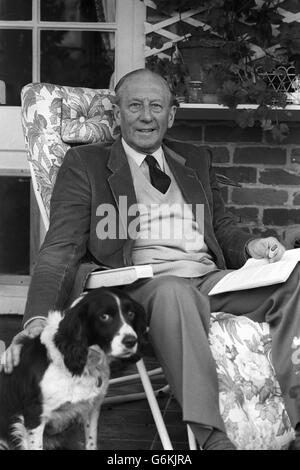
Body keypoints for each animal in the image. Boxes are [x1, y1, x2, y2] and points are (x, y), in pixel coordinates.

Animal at [0, 286, 146, 452]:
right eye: (104, 316)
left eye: (131, 313)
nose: (131, 341)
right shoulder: (34, 415)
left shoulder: (92, 408)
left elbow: (91, 442)